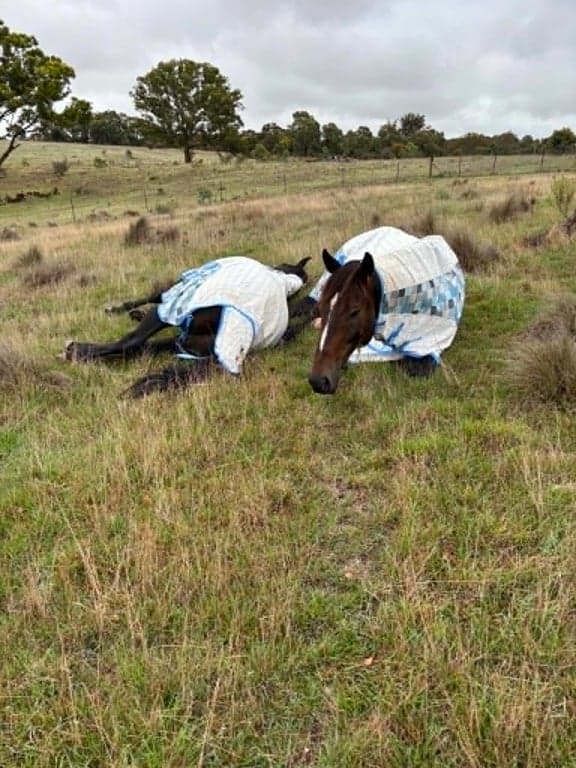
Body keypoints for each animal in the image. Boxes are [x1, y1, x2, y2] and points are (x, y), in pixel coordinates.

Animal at [64, 255, 310, 397]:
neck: (282, 281)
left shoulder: (171, 296)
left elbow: (149, 297)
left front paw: (119, 309)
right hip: (186, 341)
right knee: (144, 347)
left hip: (171, 312)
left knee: (132, 341)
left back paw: (76, 351)